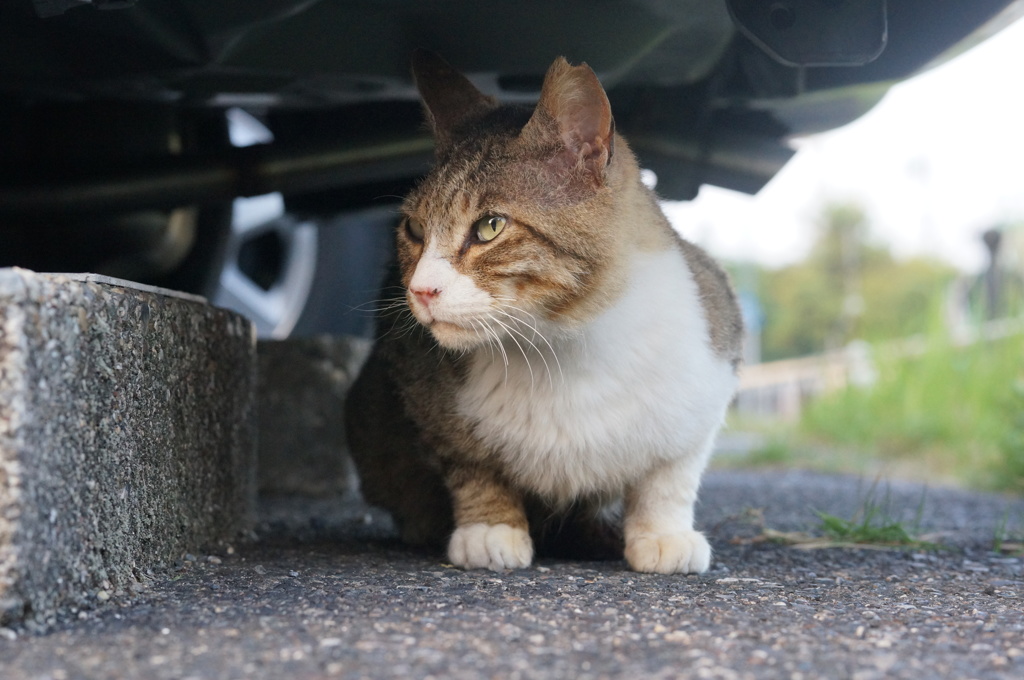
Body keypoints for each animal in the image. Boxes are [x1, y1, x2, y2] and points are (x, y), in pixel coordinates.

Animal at [346, 50, 745, 573]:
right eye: (413, 229)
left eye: (490, 226)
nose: (420, 290)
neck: (562, 346)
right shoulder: (421, 386)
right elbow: (471, 464)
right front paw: (490, 528)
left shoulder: (715, 357)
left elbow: (671, 474)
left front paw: (664, 533)